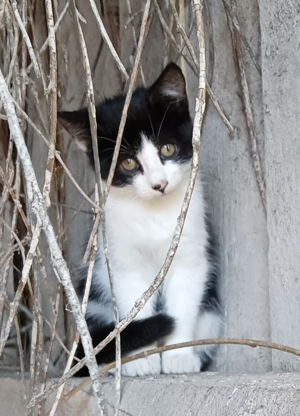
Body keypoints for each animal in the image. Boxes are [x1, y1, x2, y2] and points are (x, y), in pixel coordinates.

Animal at [58, 62, 223, 376]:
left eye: (167, 149)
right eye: (128, 163)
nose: (160, 184)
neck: (154, 213)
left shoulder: (190, 254)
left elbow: (183, 303)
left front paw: (178, 356)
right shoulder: (121, 264)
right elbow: (134, 308)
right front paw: (141, 360)